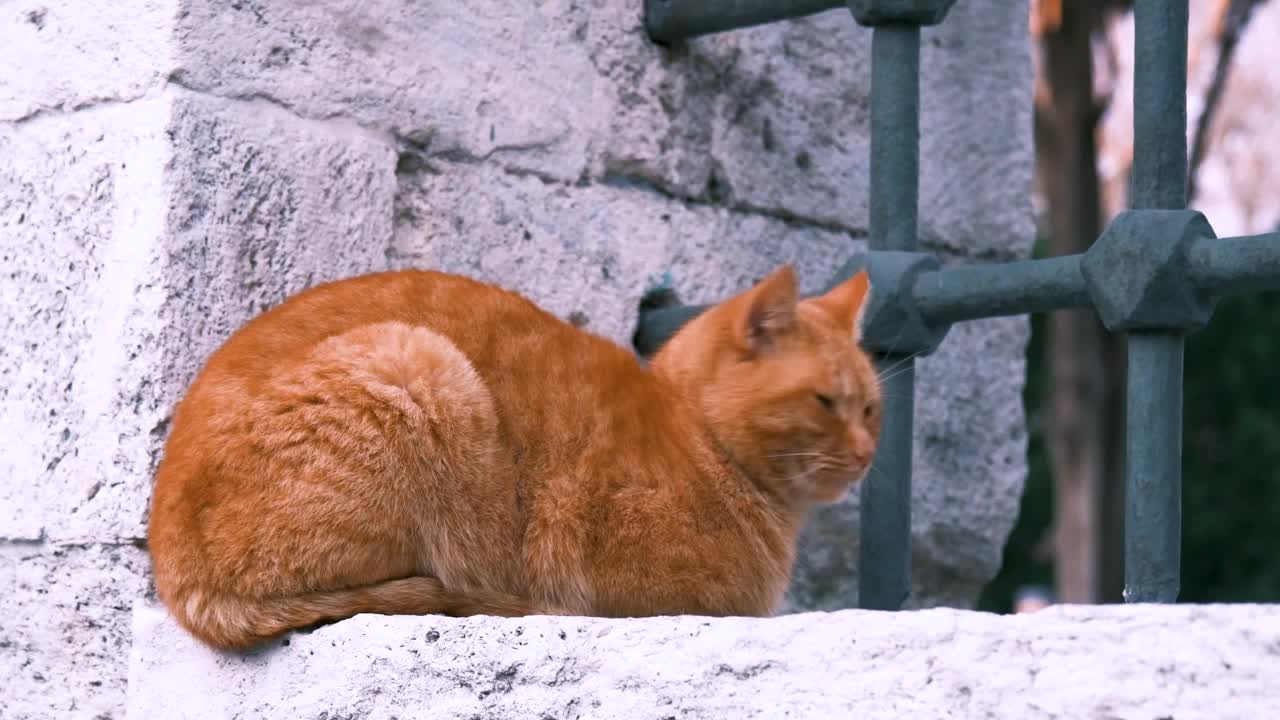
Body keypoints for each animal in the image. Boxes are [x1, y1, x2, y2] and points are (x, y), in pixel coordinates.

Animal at [145, 266, 875, 648]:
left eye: (870, 408)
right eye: (825, 402)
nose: (869, 454)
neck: (695, 434)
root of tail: (173, 574)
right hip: (416, 363)